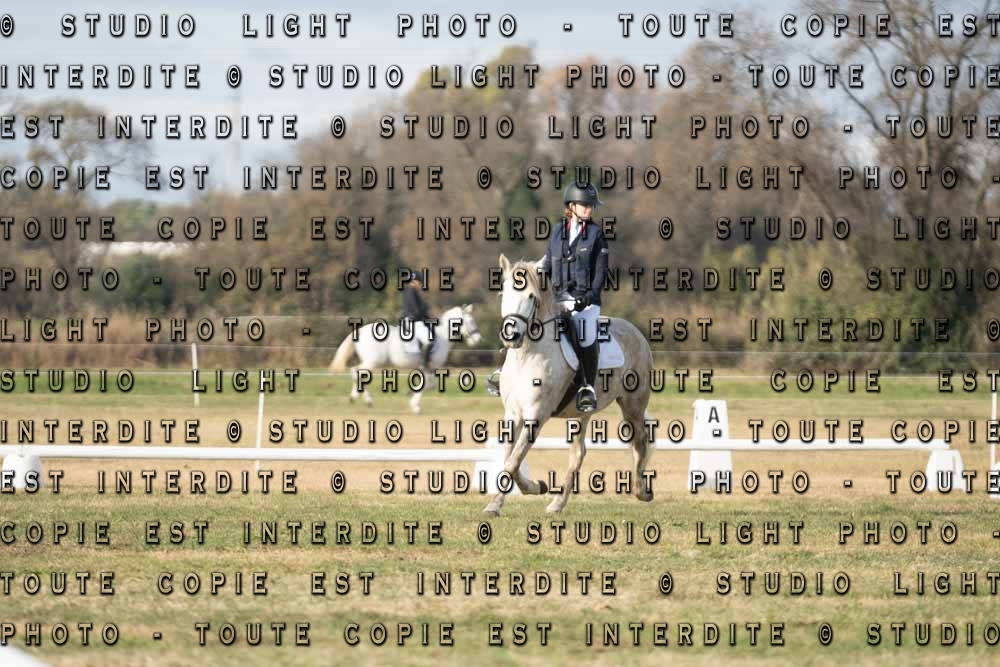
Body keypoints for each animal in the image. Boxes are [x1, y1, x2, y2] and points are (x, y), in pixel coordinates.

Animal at [328, 304, 483, 414]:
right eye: (471, 321)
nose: (478, 340)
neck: (442, 335)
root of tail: (360, 331)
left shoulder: (428, 367)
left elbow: (429, 384)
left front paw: (410, 395)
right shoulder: (428, 366)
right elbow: (427, 385)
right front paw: (415, 406)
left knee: (358, 373)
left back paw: (358, 398)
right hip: (373, 361)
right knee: (357, 371)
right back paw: (365, 399)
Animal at [484, 254, 655, 515]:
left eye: (531, 296)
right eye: (504, 293)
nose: (511, 336)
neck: (528, 355)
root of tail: (636, 331)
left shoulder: (537, 414)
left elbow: (514, 461)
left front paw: (529, 489)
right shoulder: (513, 414)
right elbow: (509, 460)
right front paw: (511, 497)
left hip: (632, 404)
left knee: (640, 441)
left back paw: (641, 492)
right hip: (579, 414)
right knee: (578, 454)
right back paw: (557, 503)